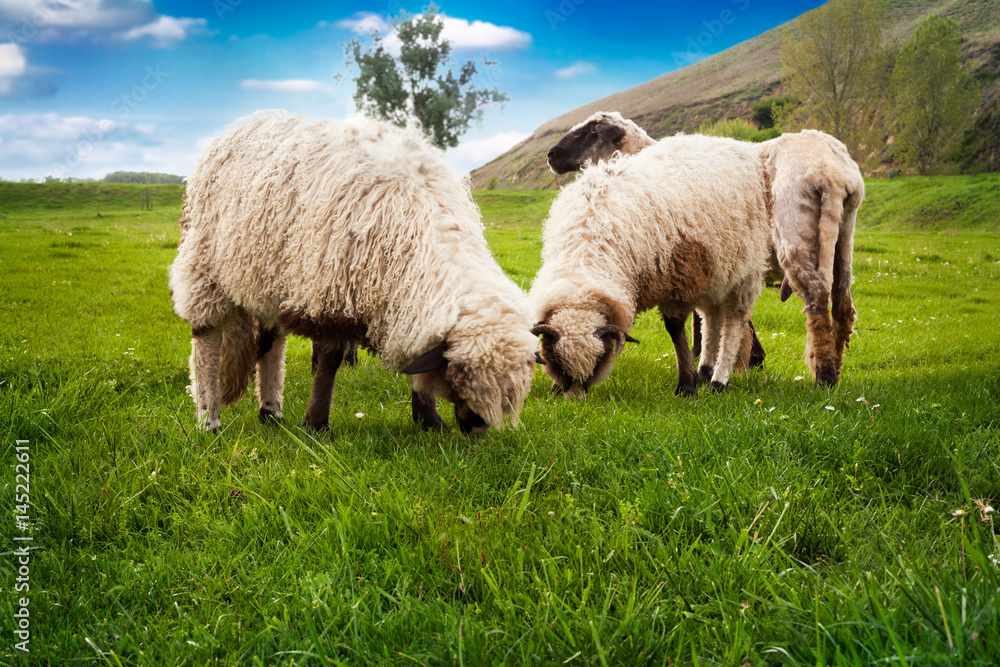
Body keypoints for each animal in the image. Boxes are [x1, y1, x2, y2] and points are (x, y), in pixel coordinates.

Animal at [170, 110, 538, 435]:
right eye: (460, 376)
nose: (477, 430)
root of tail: (242, 122)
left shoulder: (399, 304)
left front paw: (429, 421)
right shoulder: (331, 291)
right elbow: (329, 361)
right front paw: (317, 425)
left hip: (265, 276)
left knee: (271, 343)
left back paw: (271, 414)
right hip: (204, 266)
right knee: (206, 340)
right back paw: (209, 420)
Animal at [530, 133, 772, 399]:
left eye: (598, 363)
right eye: (557, 362)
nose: (575, 400)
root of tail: (732, 143)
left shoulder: (677, 278)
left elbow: (675, 329)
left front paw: (686, 385)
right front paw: (554, 389)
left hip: (744, 270)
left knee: (733, 323)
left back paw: (718, 380)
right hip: (715, 268)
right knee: (711, 318)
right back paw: (706, 370)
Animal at [546, 112, 863, 386]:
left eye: (590, 131)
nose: (551, 155)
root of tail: (833, 174)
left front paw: (722, 361)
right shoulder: (723, 258)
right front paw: (743, 358)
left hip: (794, 232)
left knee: (816, 295)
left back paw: (824, 374)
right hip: (843, 234)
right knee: (843, 303)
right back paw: (834, 364)